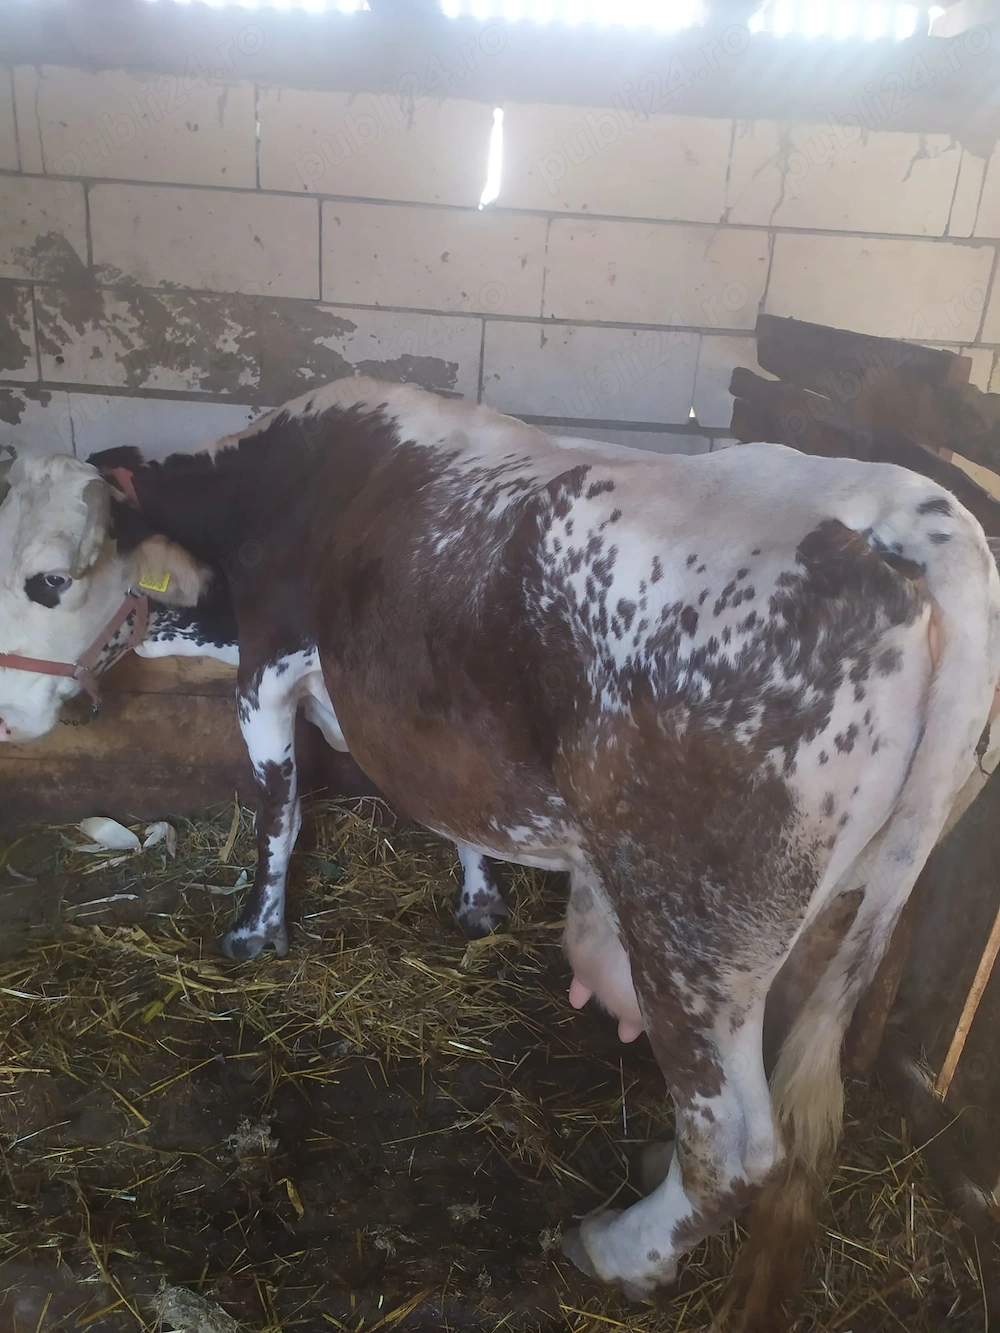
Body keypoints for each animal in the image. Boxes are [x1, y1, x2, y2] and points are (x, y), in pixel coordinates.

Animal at [2, 375, 999, 1324]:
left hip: (693, 928)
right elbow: (454, 813)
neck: (284, 484)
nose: (9, 718)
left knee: (739, 1144)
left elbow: (276, 811)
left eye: (49, 580)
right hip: (834, 897)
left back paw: (621, 1248)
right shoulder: (432, 723)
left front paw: (256, 931)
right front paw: (478, 902)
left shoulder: (268, 668)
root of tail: (905, 509)